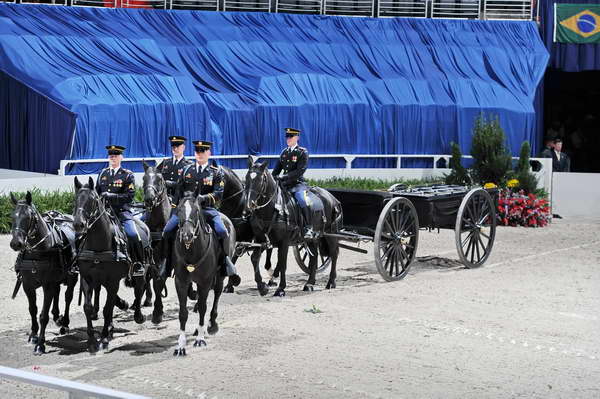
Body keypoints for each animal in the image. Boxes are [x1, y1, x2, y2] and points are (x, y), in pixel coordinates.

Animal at [8, 192, 77, 354]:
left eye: (29, 217)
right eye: (12, 216)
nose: (16, 243)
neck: (37, 252)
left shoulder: (47, 285)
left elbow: (43, 316)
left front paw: (40, 343)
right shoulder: (27, 285)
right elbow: (32, 310)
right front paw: (34, 335)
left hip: (72, 276)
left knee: (68, 297)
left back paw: (64, 322)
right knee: (57, 292)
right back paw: (57, 316)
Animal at [73, 178, 148, 354]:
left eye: (92, 200)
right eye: (75, 200)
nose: (79, 224)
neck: (99, 246)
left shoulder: (113, 280)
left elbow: (107, 309)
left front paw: (105, 338)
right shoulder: (87, 278)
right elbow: (88, 307)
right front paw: (92, 340)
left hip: (140, 271)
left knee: (139, 289)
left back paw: (138, 315)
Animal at [173, 195, 232, 356]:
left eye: (197, 210)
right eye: (178, 210)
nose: (187, 235)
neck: (191, 251)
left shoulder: (205, 281)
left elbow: (203, 307)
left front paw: (200, 339)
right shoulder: (181, 282)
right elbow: (183, 312)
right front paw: (180, 346)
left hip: (219, 276)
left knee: (216, 293)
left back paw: (211, 325)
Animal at [241, 156, 340, 296]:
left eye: (260, 180)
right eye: (247, 178)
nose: (248, 208)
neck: (274, 207)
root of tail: (332, 198)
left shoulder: (284, 242)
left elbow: (282, 263)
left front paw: (280, 289)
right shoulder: (261, 240)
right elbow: (255, 259)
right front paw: (262, 287)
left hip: (330, 234)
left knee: (334, 254)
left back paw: (331, 282)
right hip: (312, 238)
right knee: (314, 257)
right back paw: (309, 283)